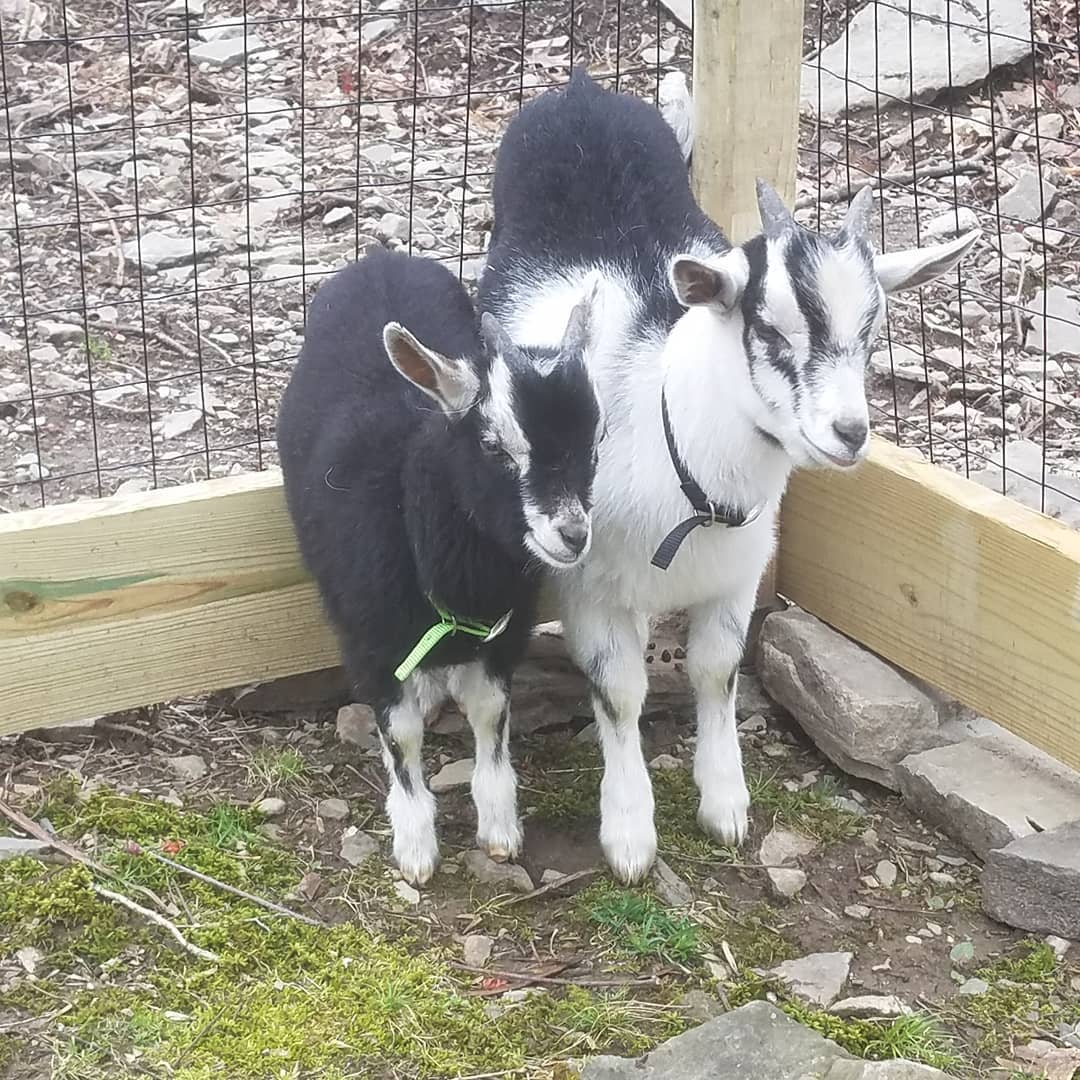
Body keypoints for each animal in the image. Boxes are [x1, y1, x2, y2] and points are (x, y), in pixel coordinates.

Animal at [277, 248, 603, 884]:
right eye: (495, 447)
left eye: (596, 443)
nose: (572, 535)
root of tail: (382, 256)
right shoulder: (372, 644)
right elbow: (400, 737)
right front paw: (415, 846)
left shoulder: (504, 635)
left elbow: (491, 714)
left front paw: (499, 827)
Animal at [479, 67, 979, 883]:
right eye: (770, 329)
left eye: (873, 332)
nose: (849, 433)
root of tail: (583, 90)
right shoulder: (588, 587)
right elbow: (619, 691)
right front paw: (629, 834)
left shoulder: (736, 579)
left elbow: (716, 672)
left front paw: (725, 805)